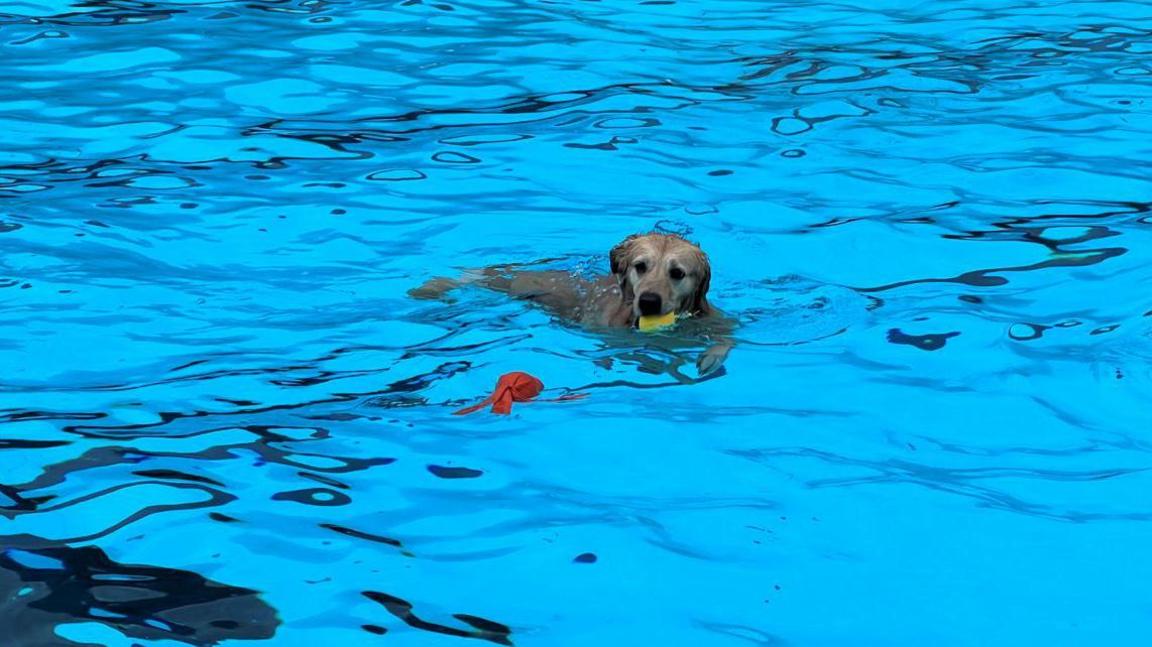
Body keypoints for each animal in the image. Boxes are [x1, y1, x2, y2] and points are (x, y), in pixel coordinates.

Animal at [410, 231, 732, 373]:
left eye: (677, 273)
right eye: (640, 266)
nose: (649, 301)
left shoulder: (716, 319)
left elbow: (728, 336)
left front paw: (711, 358)